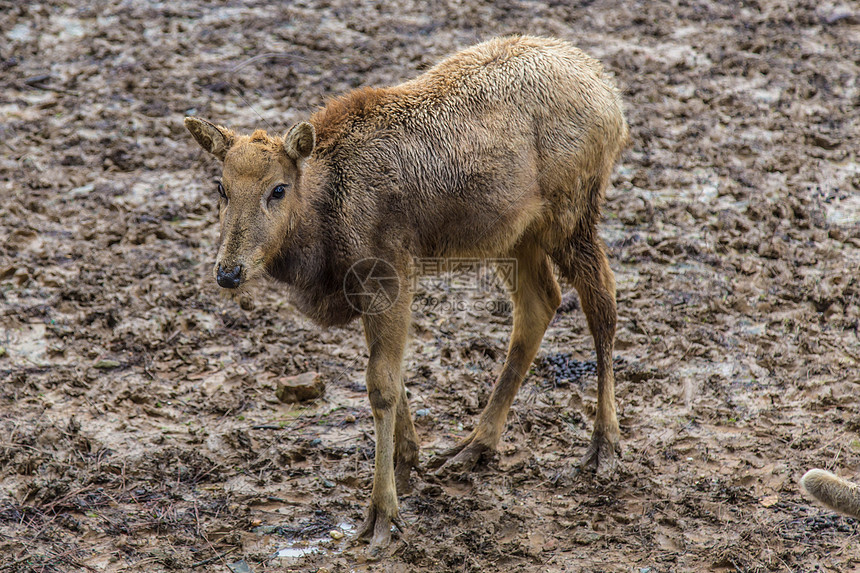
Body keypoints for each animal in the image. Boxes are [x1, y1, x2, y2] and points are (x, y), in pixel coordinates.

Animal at [186, 33, 632, 556]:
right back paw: (475, 444)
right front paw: (409, 460)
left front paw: (383, 514)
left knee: (602, 302)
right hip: (515, 233)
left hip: (572, 213)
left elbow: (380, 383)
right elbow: (395, 377)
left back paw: (604, 446)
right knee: (540, 303)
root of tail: (610, 94)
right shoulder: (368, 287)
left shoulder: (391, 274)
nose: (228, 272)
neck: (324, 214)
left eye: (277, 189)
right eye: (221, 187)